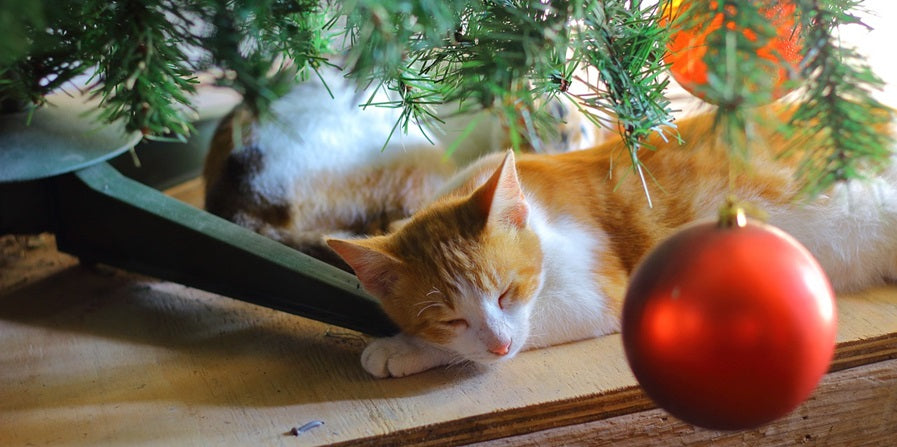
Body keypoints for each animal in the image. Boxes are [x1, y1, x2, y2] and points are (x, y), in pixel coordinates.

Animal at [328, 106, 896, 378]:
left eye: (508, 293)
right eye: (450, 318)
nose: (500, 342)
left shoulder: (596, 294)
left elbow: (539, 324)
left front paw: (403, 349)